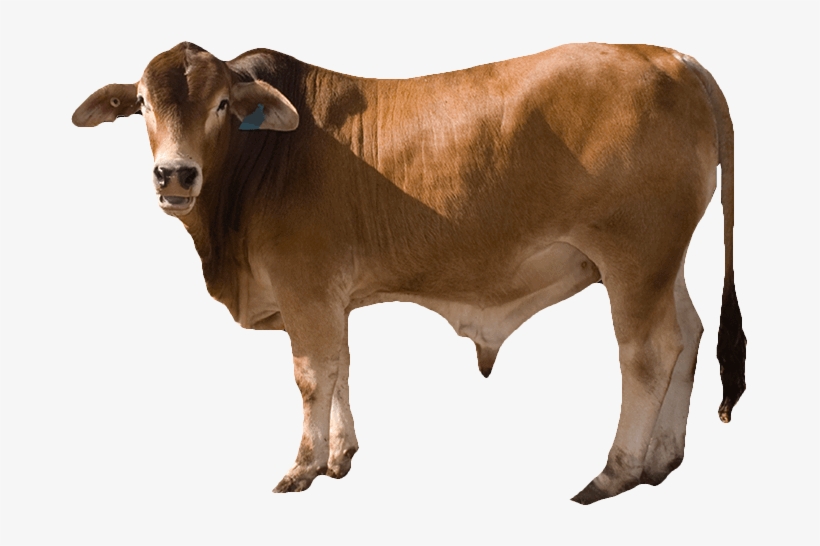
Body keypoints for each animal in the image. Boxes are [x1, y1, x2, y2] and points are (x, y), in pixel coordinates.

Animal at [72, 42, 746, 504]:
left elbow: (312, 375)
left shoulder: (304, 286)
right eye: (141, 103)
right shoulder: (330, 298)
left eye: (220, 104)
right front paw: (340, 456)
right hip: (665, 261)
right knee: (688, 336)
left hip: (634, 256)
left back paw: (615, 472)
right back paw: (662, 461)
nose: (175, 174)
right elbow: (340, 366)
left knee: (648, 353)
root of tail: (673, 58)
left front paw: (302, 468)